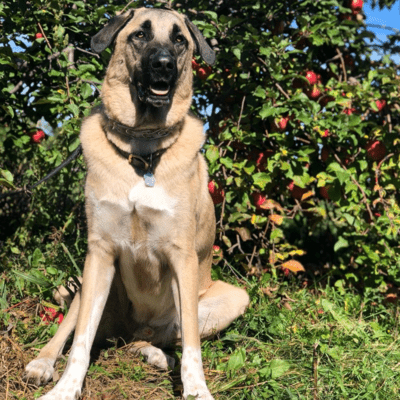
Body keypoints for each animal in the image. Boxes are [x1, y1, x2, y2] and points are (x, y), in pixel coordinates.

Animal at [23, 7, 248, 400]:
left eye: (179, 40)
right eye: (139, 35)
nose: (164, 65)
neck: (142, 147)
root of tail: (131, 329)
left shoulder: (182, 257)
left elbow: (192, 347)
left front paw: (196, 389)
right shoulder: (99, 253)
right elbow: (80, 342)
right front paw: (66, 388)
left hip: (230, 299)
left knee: (161, 338)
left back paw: (157, 355)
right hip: (88, 283)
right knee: (72, 329)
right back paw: (43, 362)